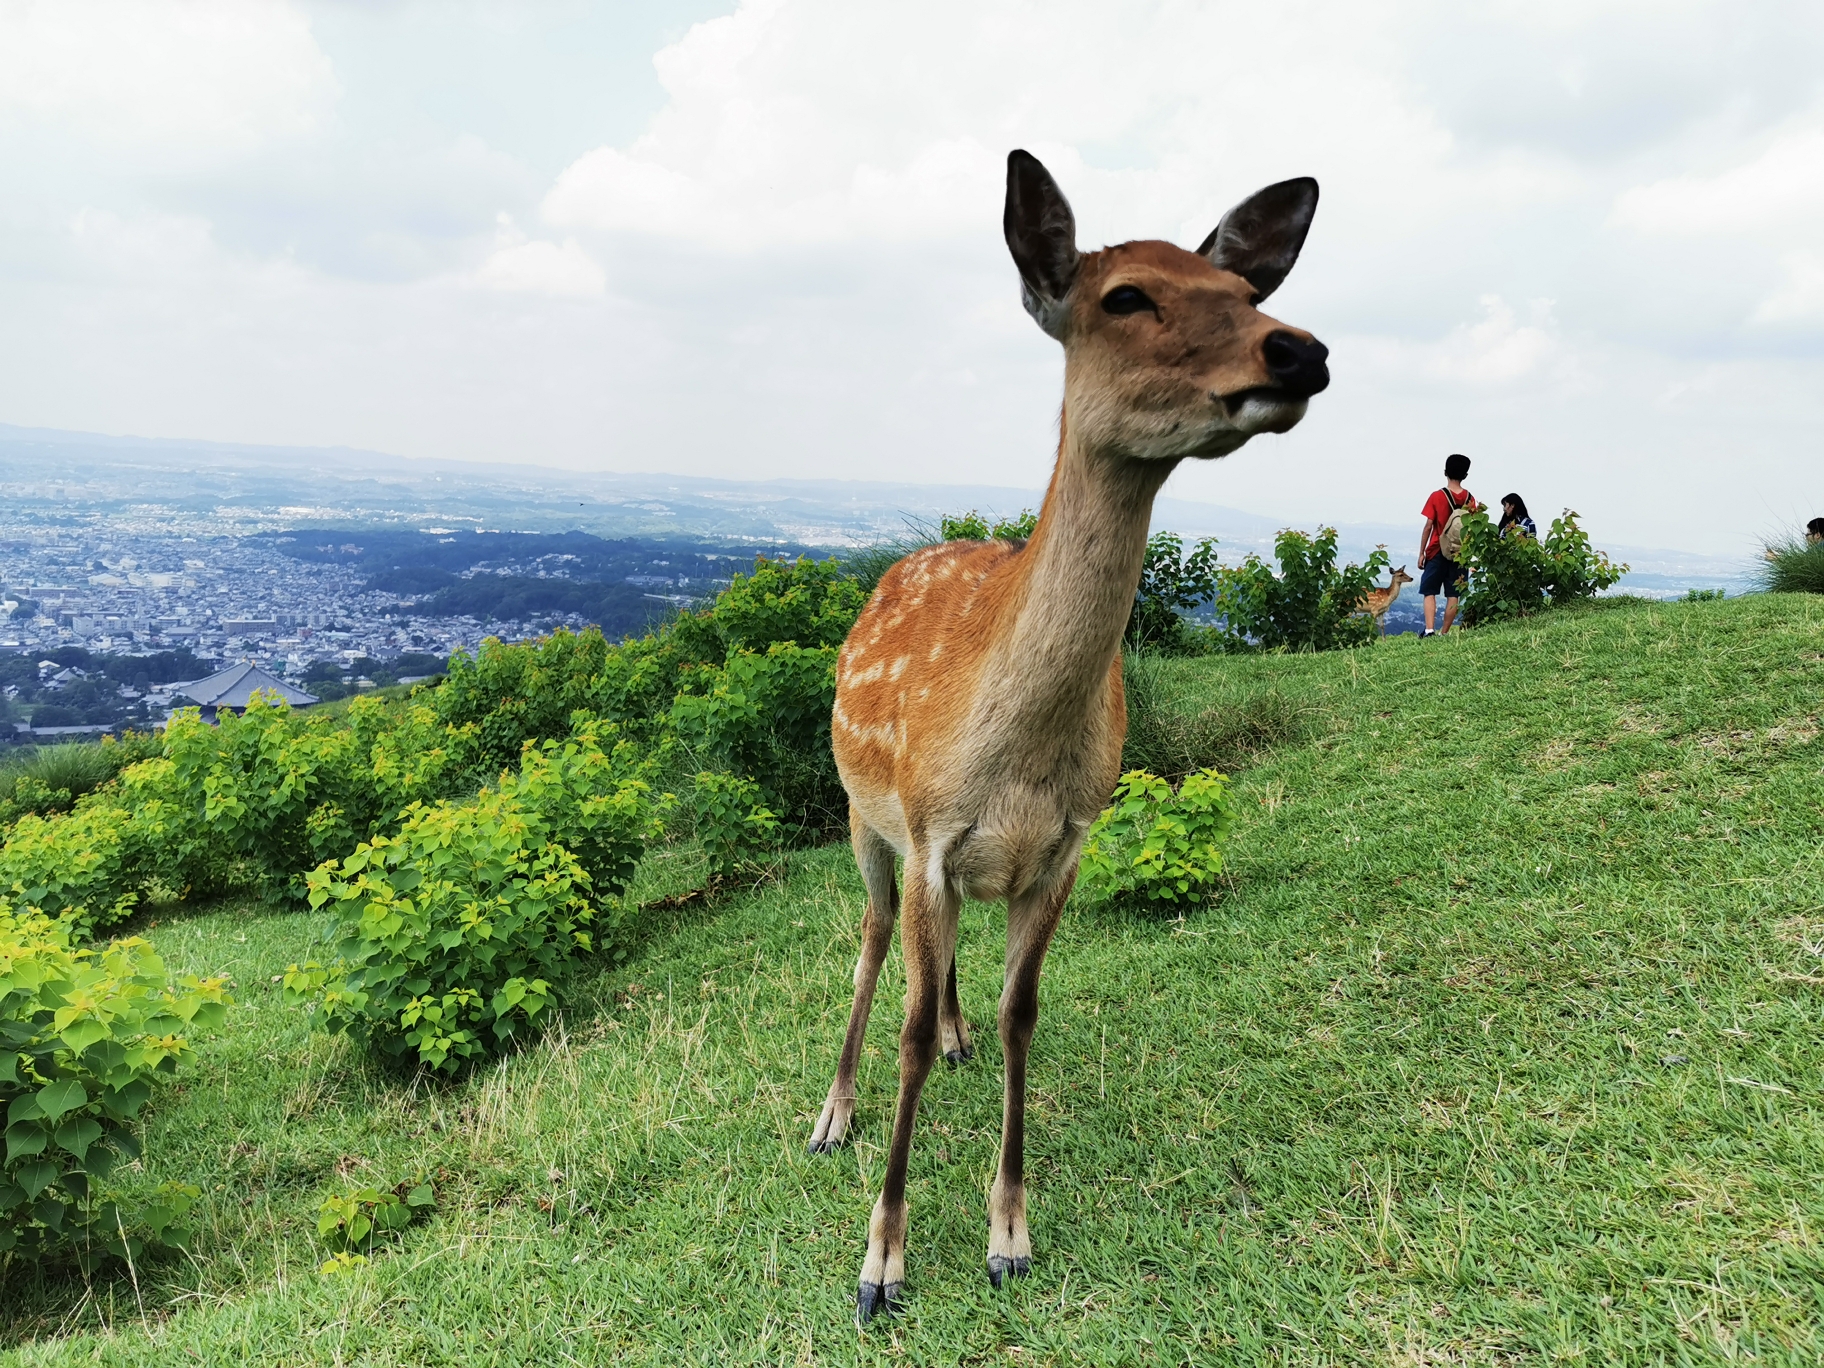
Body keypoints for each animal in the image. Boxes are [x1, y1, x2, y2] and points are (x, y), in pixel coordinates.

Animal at [820, 145, 1335, 1320]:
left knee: (945, 966)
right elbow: (906, 1032)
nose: (1301, 348)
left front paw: (1009, 1234)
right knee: (873, 941)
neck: (1012, 762)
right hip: (864, 821)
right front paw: (882, 1262)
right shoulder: (928, 833)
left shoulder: (1064, 847)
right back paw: (831, 1112)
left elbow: (1024, 1014)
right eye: (1126, 296)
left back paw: (955, 1034)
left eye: (1242, 290)